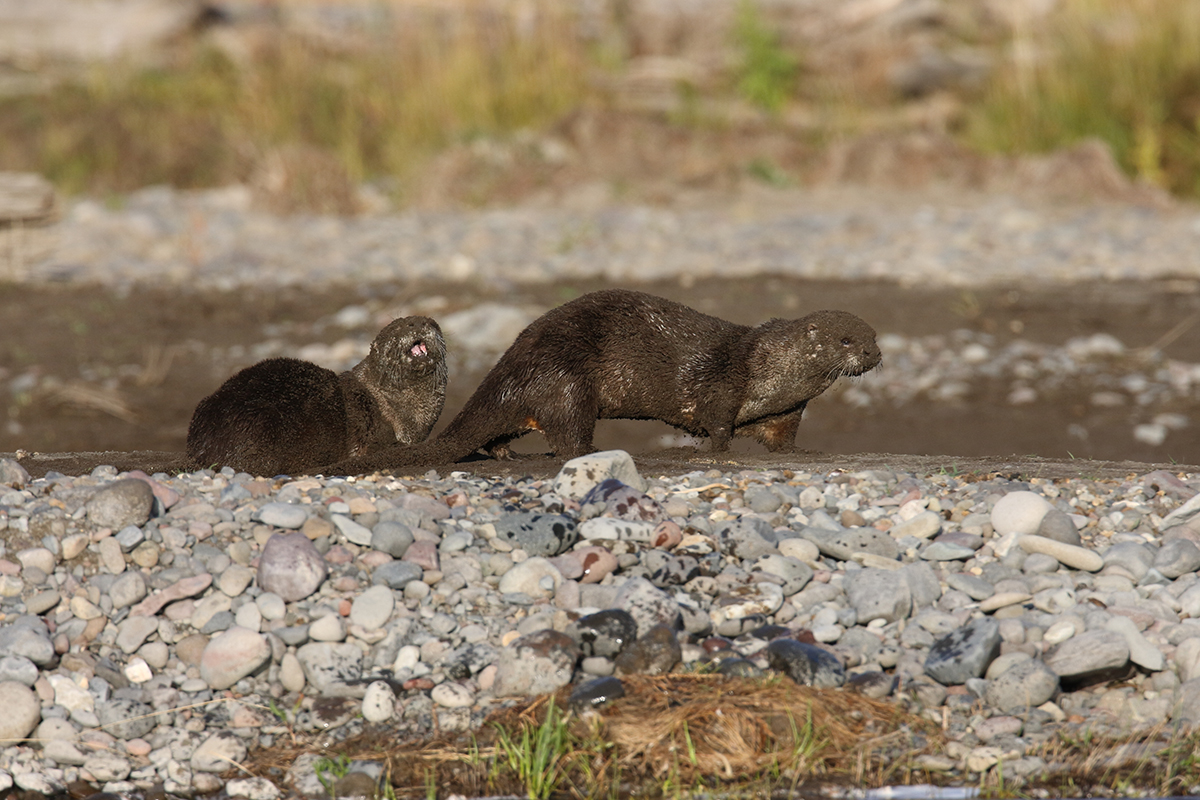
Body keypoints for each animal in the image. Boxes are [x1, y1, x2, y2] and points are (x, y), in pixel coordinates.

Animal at [320, 290, 879, 475]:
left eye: (872, 335)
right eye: (847, 339)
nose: (874, 353)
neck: (773, 375)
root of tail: (514, 362)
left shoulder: (787, 409)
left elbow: (784, 437)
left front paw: (806, 452)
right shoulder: (726, 381)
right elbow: (718, 422)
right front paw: (718, 451)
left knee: (504, 431)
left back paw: (508, 454)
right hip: (567, 382)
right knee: (568, 434)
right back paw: (587, 450)